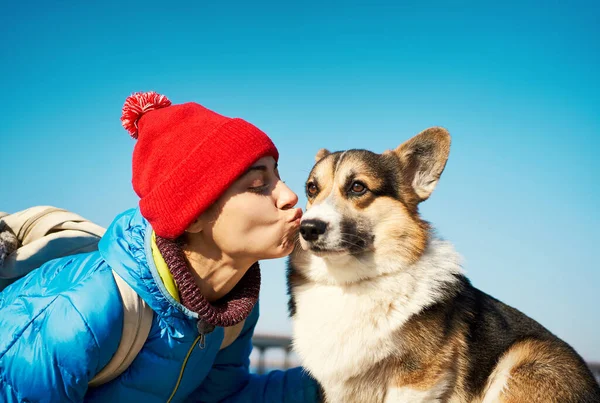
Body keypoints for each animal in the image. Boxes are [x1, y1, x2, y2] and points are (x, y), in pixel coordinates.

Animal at [288, 128, 600, 402]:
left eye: (357, 187)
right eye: (311, 188)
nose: (308, 228)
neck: (349, 281)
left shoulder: (415, 380)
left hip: (524, 359)